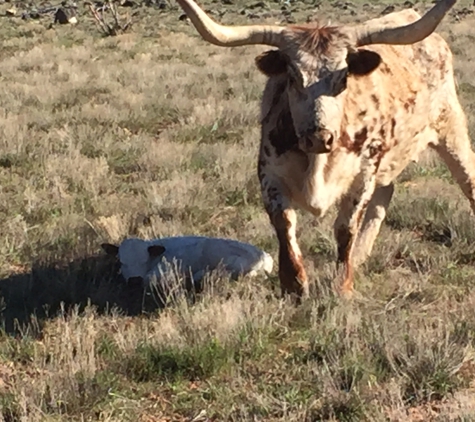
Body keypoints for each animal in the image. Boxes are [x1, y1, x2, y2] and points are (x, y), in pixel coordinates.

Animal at [174, 0, 472, 300]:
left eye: (343, 78)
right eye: (293, 77)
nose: (319, 137)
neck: (317, 163)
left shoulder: (363, 176)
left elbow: (345, 228)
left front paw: (342, 285)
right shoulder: (269, 176)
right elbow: (284, 225)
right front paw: (294, 285)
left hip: (451, 129)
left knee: (467, 180)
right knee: (385, 193)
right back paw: (361, 256)